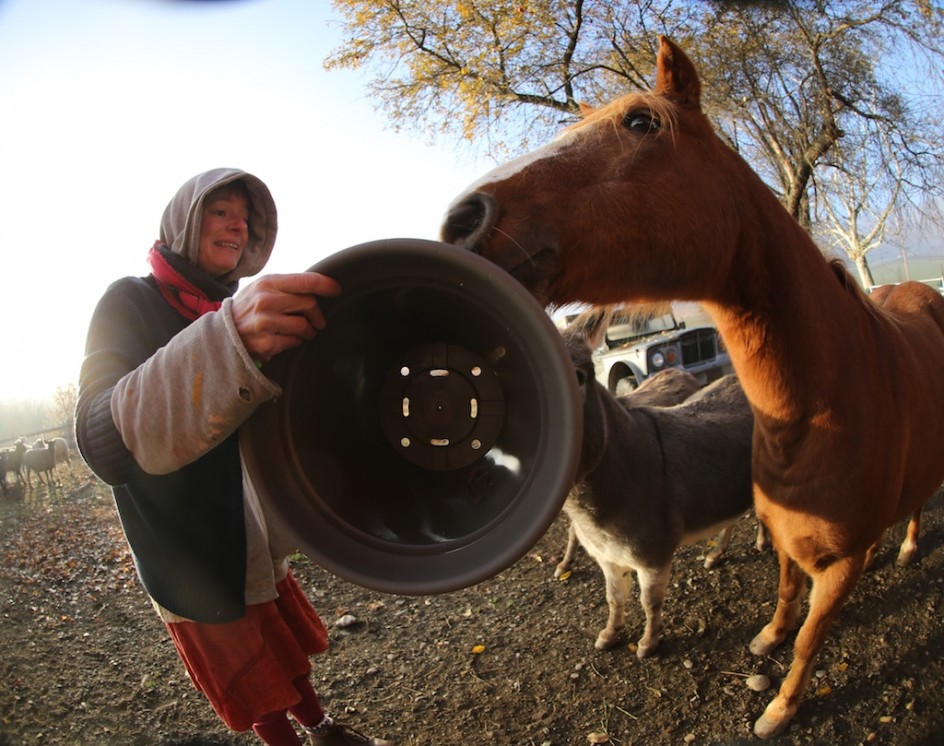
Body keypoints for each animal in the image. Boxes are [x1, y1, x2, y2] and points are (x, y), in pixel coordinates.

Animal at [438, 36, 944, 740]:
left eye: (640, 122)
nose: (461, 220)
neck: (827, 410)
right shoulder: (784, 538)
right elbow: (784, 597)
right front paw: (764, 639)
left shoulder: (839, 567)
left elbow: (811, 639)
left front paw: (779, 708)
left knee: (919, 505)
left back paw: (911, 547)